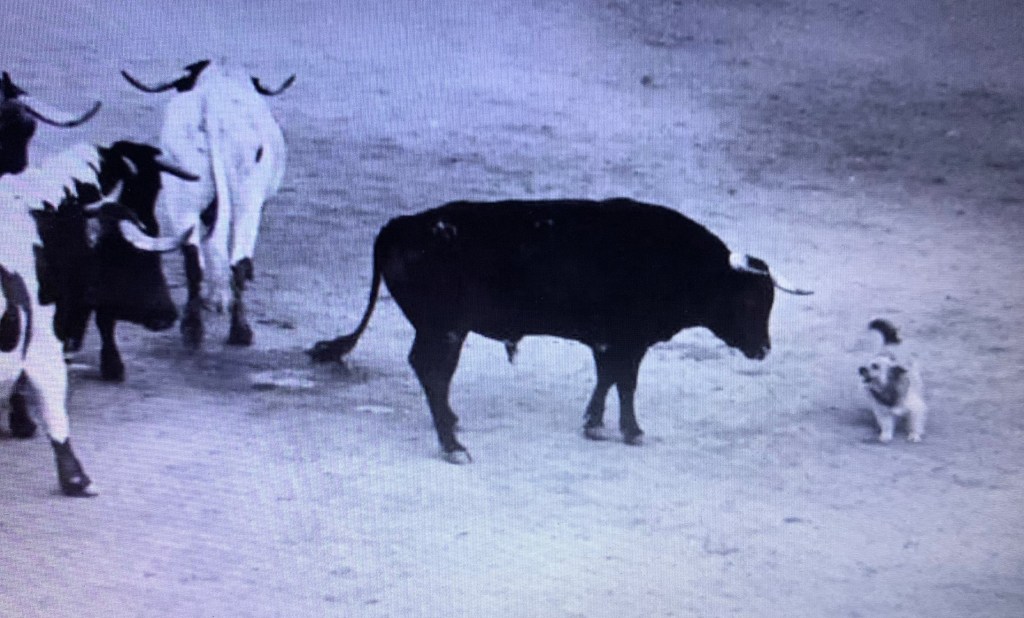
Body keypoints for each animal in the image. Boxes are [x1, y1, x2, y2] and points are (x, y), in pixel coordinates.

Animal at [120, 60, 294, 348]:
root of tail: (213, 108)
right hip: (247, 199)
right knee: (235, 260)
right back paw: (232, 330)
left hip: (184, 196)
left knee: (195, 257)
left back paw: (199, 327)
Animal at [308, 198, 812, 463]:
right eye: (748, 301)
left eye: (767, 302)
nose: (763, 349)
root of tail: (399, 226)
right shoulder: (627, 341)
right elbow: (625, 382)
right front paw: (631, 431)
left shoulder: (609, 342)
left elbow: (608, 379)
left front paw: (595, 424)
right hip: (444, 330)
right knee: (433, 372)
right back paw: (453, 445)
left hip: (443, 330)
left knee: (431, 374)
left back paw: (452, 426)